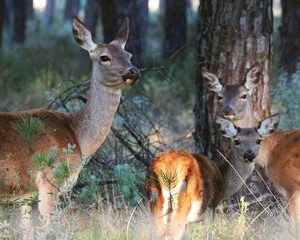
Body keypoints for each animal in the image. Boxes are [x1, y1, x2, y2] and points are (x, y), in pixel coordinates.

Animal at [0, 15, 141, 239]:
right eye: (104, 57)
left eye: (129, 55)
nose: (133, 71)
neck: (78, 136)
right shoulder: (49, 180)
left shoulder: (24, 194)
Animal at [145, 115, 278, 240]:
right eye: (237, 141)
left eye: (259, 140)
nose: (249, 154)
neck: (222, 181)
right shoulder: (212, 206)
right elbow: (209, 233)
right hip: (183, 205)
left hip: (155, 204)